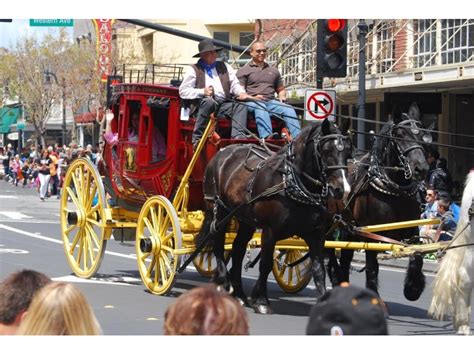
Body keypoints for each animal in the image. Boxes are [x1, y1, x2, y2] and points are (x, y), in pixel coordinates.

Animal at [194, 119, 354, 314]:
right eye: (326, 151)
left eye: (348, 151)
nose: (342, 189)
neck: (293, 184)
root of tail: (223, 152)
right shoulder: (270, 231)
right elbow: (266, 264)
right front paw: (262, 300)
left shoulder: (316, 235)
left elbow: (318, 270)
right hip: (218, 211)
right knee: (217, 243)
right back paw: (224, 283)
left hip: (246, 220)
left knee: (238, 250)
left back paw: (239, 295)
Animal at [328, 101, 432, 302]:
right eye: (400, 135)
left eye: (422, 134)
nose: (421, 168)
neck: (394, 190)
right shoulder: (371, 232)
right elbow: (372, 267)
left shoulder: (412, 230)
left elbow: (417, 256)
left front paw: (413, 288)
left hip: (348, 229)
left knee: (344, 256)